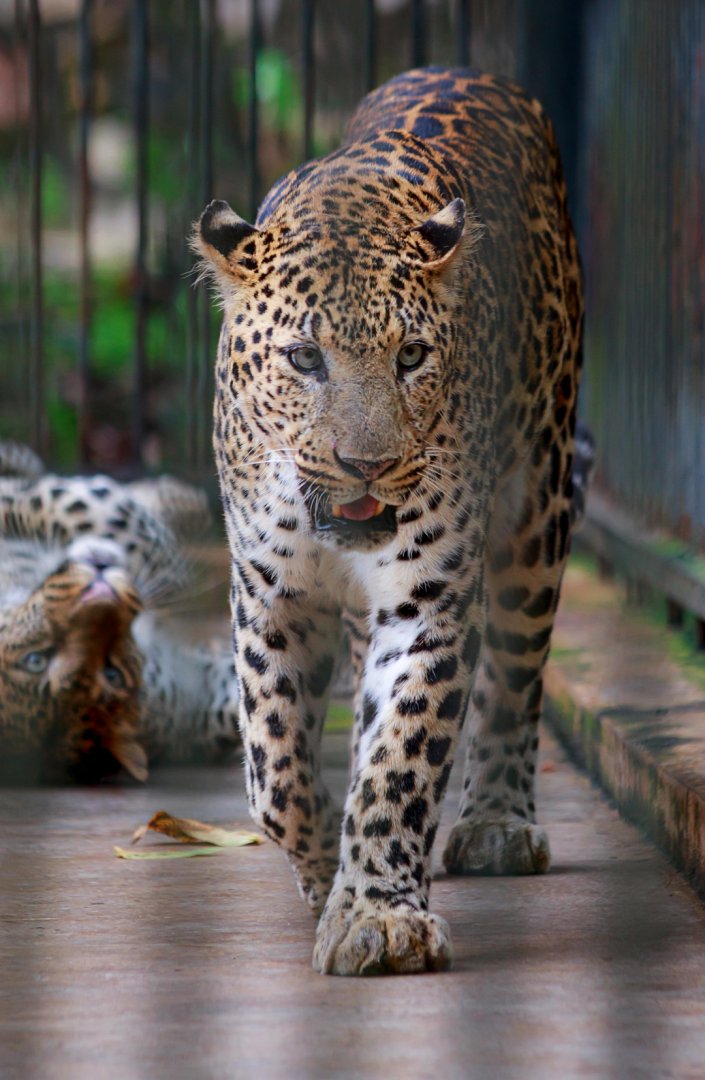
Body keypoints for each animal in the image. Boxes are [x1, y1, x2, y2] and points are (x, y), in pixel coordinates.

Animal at [194, 67, 584, 976]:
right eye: (304, 359)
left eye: (411, 356)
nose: (365, 465)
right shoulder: (269, 597)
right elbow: (274, 770)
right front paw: (320, 873)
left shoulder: (428, 603)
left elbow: (400, 757)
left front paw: (378, 913)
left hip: (538, 509)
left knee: (514, 677)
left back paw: (497, 821)